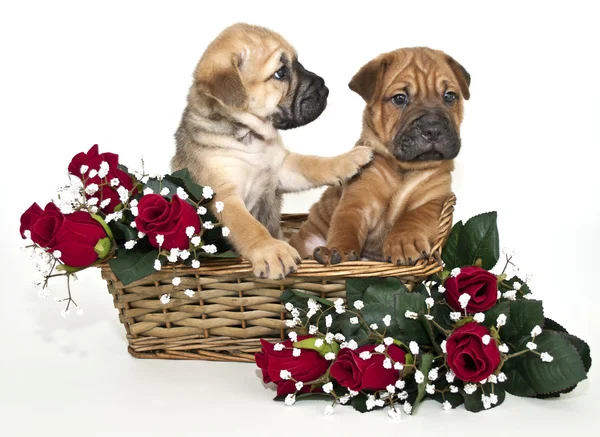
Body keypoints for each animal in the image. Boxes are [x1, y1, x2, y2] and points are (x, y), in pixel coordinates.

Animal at [171, 23, 372, 278]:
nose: (325, 88)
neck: (251, 137)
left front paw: (349, 158)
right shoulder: (224, 195)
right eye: (280, 73)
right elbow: (249, 226)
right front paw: (271, 250)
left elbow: (313, 164)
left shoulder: (281, 169)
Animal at [288, 48, 472, 266]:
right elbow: (344, 227)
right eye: (399, 99)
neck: (404, 168)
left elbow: (413, 218)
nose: (433, 128)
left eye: (449, 96)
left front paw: (404, 242)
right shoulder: (357, 201)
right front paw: (337, 250)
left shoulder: (435, 200)